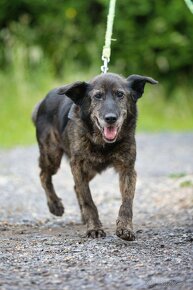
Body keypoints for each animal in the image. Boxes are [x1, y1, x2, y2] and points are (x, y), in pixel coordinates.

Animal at [31, 72, 158, 240]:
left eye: (120, 94)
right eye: (98, 96)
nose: (110, 118)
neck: (103, 143)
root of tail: (43, 100)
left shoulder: (127, 169)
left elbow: (127, 201)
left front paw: (125, 227)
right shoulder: (77, 166)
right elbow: (88, 200)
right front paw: (94, 228)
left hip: (91, 169)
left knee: (74, 187)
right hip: (52, 155)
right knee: (43, 175)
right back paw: (55, 204)